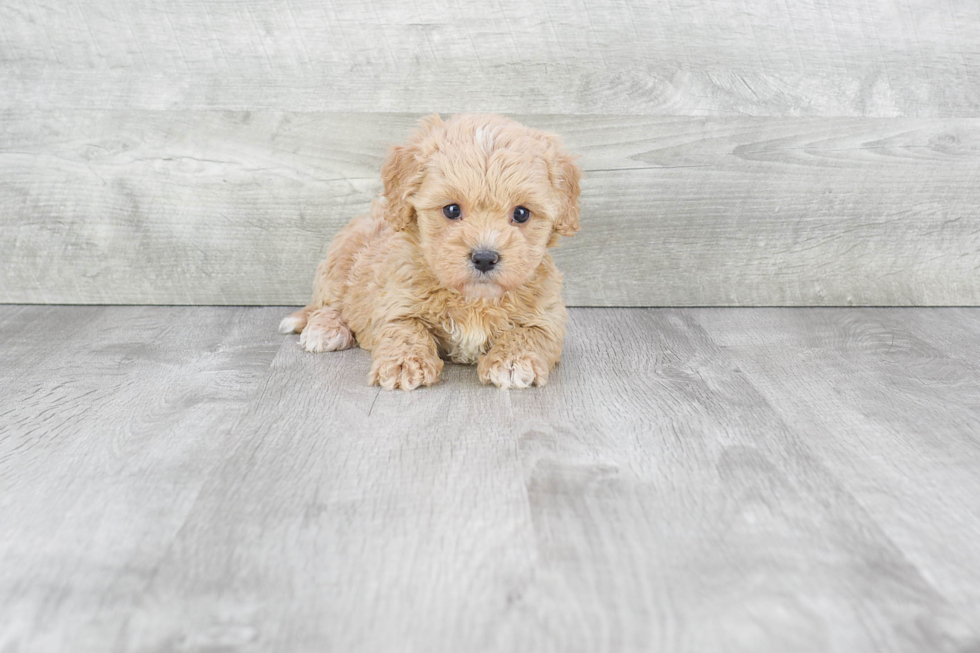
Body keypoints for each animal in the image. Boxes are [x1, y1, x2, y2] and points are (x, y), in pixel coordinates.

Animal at [278, 112, 580, 390]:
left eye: (521, 213)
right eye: (452, 209)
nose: (484, 258)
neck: (474, 300)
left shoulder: (547, 315)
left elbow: (531, 333)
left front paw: (514, 362)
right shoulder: (395, 302)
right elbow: (405, 329)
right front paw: (404, 364)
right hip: (340, 261)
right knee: (326, 304)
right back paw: (325, 329)